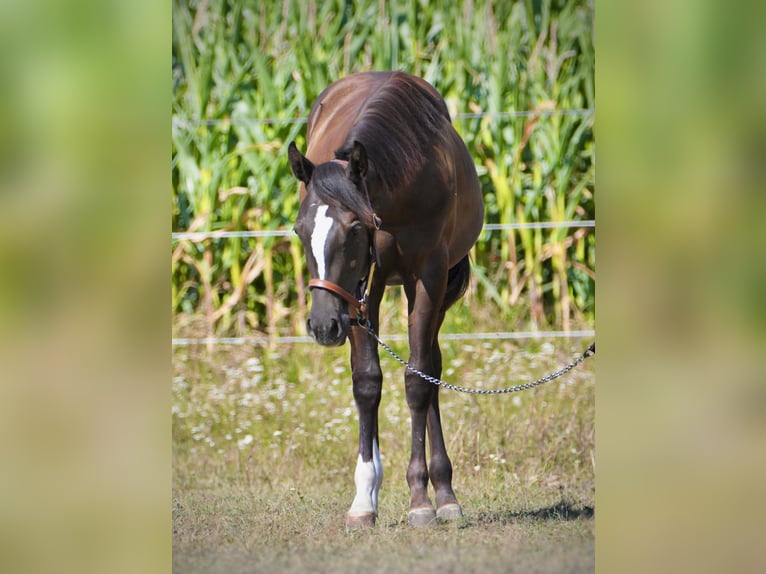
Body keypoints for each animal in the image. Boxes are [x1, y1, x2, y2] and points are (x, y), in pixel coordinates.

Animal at [287, 71, 484, 529]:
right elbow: (366, 382)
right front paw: (364, 499)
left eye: (355, 228)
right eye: (300, 230)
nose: (322, 326)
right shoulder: (355, 293)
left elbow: (417, 379)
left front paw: (421, 499)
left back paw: (444, 493)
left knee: (431, 368)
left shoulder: (428, 275)